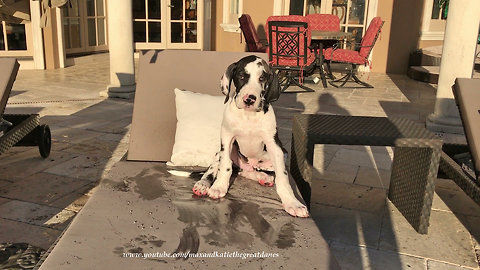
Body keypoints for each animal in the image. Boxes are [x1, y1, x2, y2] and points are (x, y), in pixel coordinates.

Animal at [191, 54, 308, 217]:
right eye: (241, 76)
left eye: (262, 78)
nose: (249, 99)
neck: (248, 116)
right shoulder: (227, 138)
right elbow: (224, 166)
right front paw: (219, 187)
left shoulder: (274, 146)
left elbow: (283, 177)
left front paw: (293, 203)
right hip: (220, 152)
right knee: (214, 168)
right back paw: (203, 184)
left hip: (280, 154)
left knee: (248, 171)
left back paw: (263, 176)